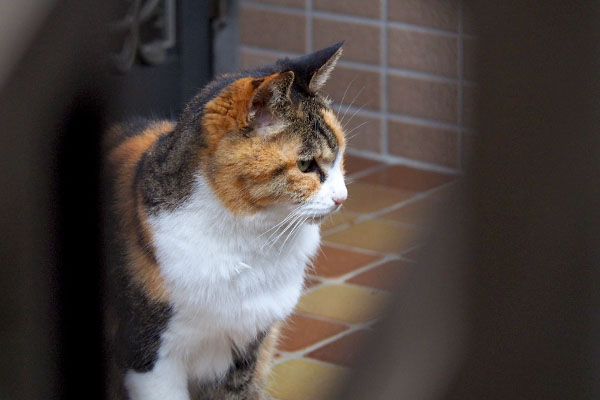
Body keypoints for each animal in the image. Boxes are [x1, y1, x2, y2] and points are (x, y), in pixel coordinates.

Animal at [103, 42, 346, 398]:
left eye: (340, 156)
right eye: (305, 165)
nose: (342, 197)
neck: (250, 244)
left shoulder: (247, 349)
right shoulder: (150, 357)